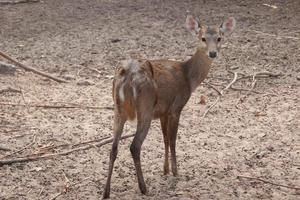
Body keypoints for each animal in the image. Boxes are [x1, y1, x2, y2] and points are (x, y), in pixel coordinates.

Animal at [103, 14, 237, 198]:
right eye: (202, 38)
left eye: (219, 38)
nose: (212, 53)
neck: (189, 78)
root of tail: (127, 73)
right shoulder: (176, 107)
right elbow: (173, 139)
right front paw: (175, 171)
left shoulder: (162, 111)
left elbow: (165, 138)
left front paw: (165, 170)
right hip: (145, 107)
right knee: (135, 146)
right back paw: (144, 188)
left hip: (118, 109)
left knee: (113, 147)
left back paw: (106, 192)